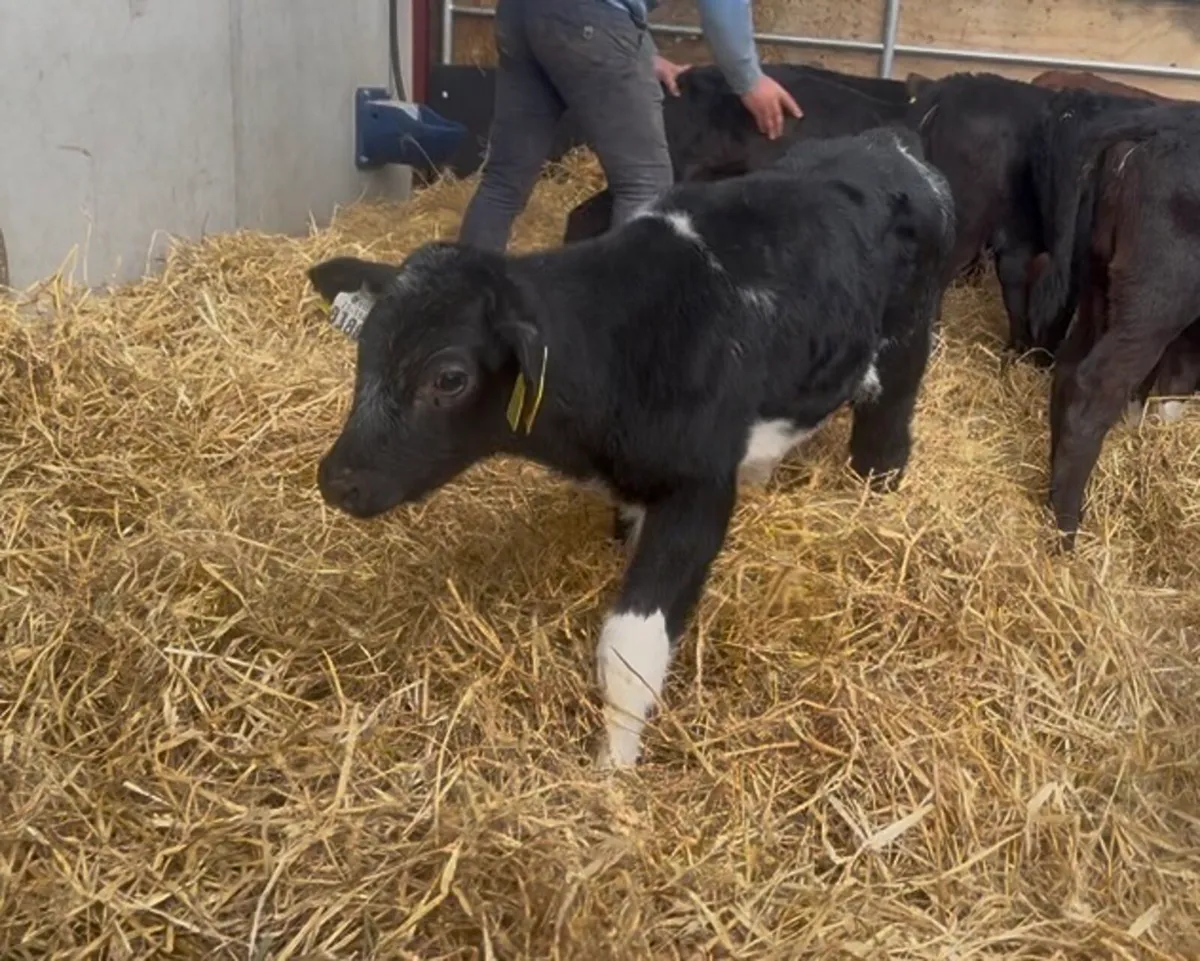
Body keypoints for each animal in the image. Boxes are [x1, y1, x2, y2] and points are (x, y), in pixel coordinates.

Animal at [308, 125, 956, 768]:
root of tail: (888, 143)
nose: (337, 479)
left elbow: (629, 649)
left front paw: (612, 768)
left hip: (903, 351)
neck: (620, 348)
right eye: (365, 349)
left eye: (449, 378)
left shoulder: (698, 493)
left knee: (885, 440)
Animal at [1026, 102, 1200, 544]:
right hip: (1154, 300)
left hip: (1097, 285)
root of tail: (1159, 124)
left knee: (1070, 368)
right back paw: (1068, 527)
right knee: (1094, 388)